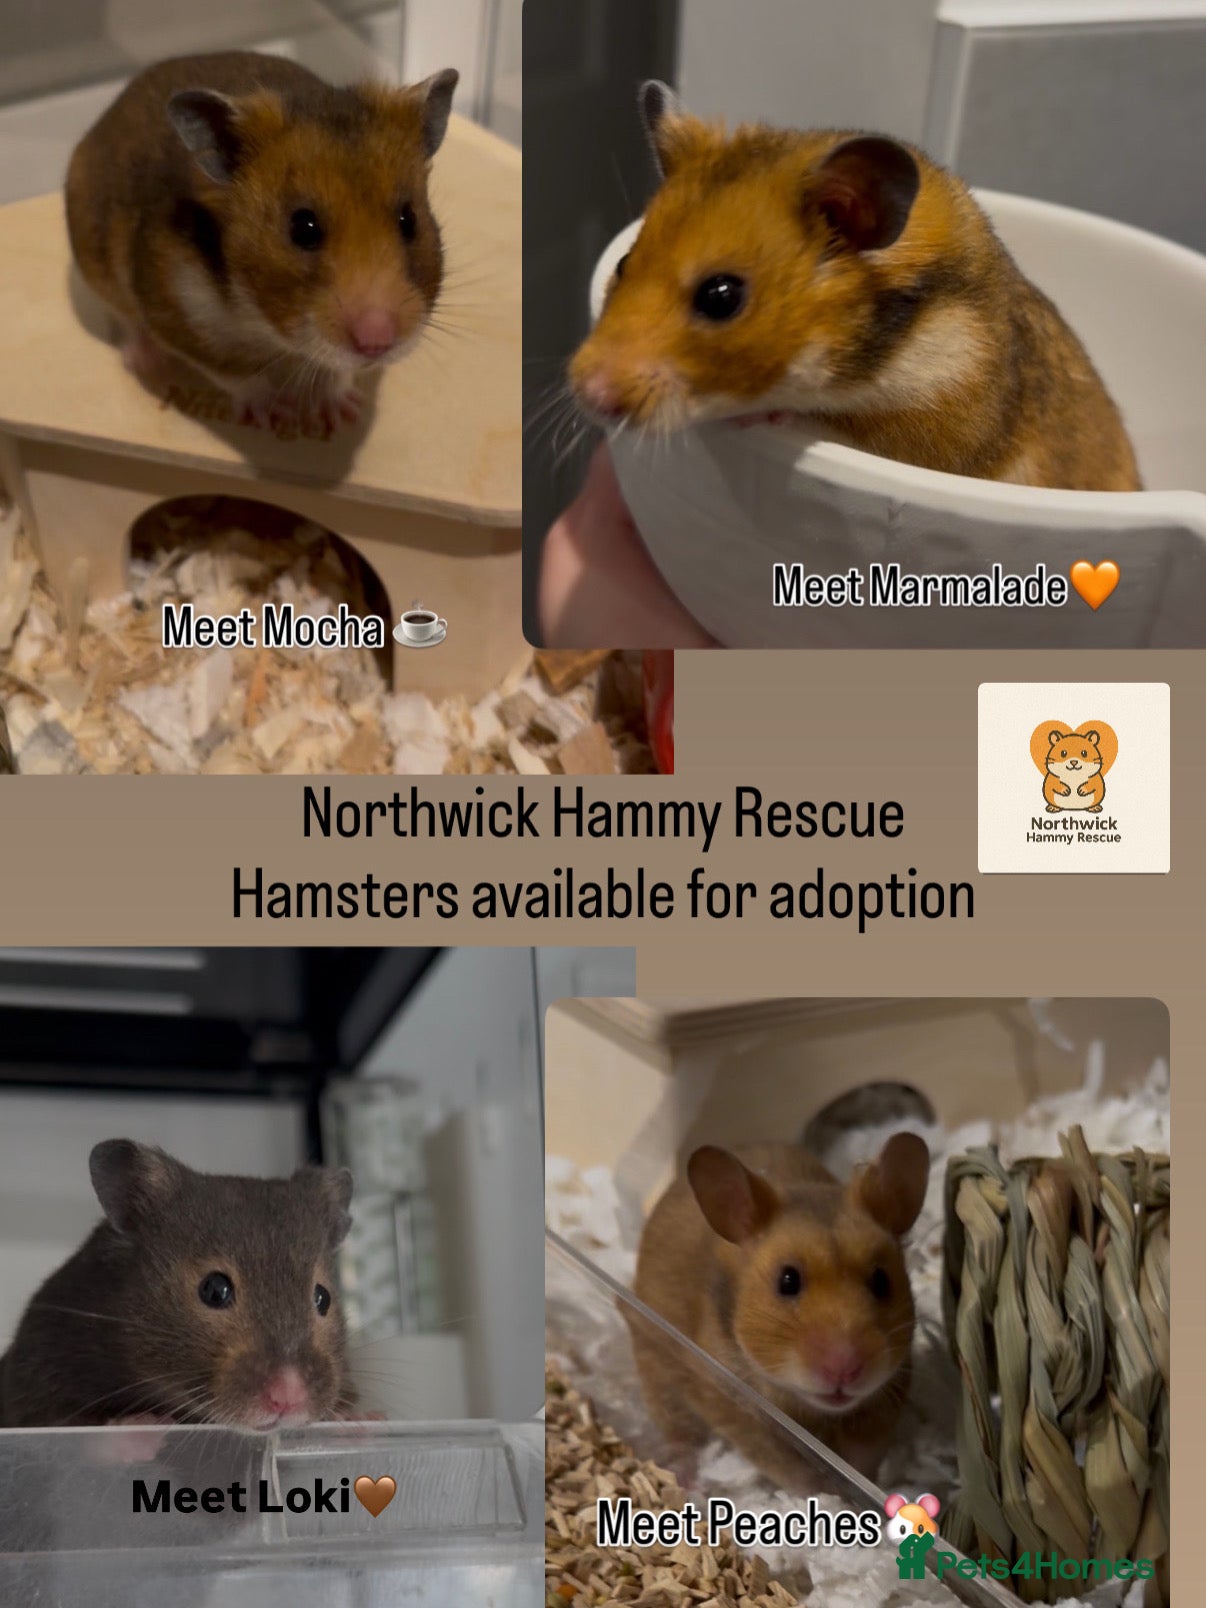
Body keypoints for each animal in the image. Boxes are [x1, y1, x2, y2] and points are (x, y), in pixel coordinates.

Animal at [65, 52, 458, 435]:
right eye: (303, 228)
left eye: (409, 220)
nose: (377, 342)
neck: (260, 319)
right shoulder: (178, 311)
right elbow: (235, 374)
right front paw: (278, 413)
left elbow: (336, 370)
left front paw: (343, 414)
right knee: (127, 321)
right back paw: (147, 362)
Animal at [630, 1133, 929, 1487]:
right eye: (788, 1281)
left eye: (881, 1281)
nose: (845, 1371)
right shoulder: (738, 1412)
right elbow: (792, 1470)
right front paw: (830, 1493)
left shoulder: (886, 1395)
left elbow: (862, 1457)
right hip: (655, 1369)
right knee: (676, 1430)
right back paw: (682, 1477)